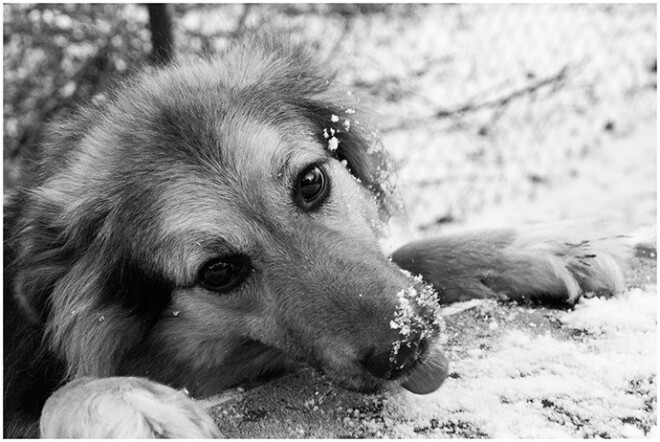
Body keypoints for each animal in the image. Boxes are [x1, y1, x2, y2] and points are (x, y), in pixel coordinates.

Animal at [1, 35, 628, 438]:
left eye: (310, 182)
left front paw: (539, 246)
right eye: (218, 272)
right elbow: (65, 392)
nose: (406, 346)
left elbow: (409, 252)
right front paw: (120, 406)